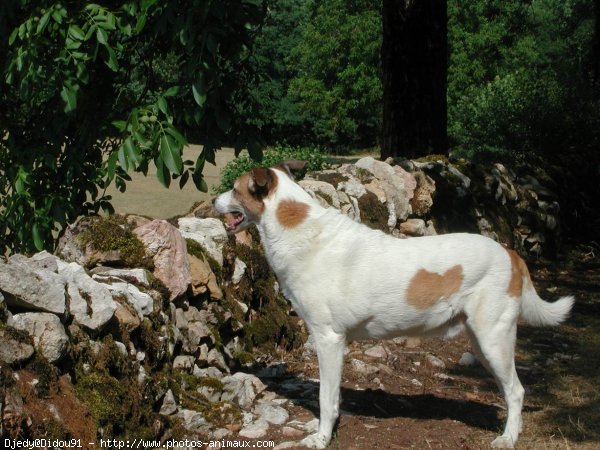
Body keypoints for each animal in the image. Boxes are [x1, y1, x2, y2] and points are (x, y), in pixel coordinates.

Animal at [213, 160, 576, 448]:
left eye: (234, 189)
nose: (214, 201)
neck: (298, 227)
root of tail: (510, 252)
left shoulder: (328, 339)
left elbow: (326, 398)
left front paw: (321, 437)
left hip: (493, 339)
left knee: (516, 391)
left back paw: (508, 438)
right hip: (483, 342)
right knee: (508, 389)